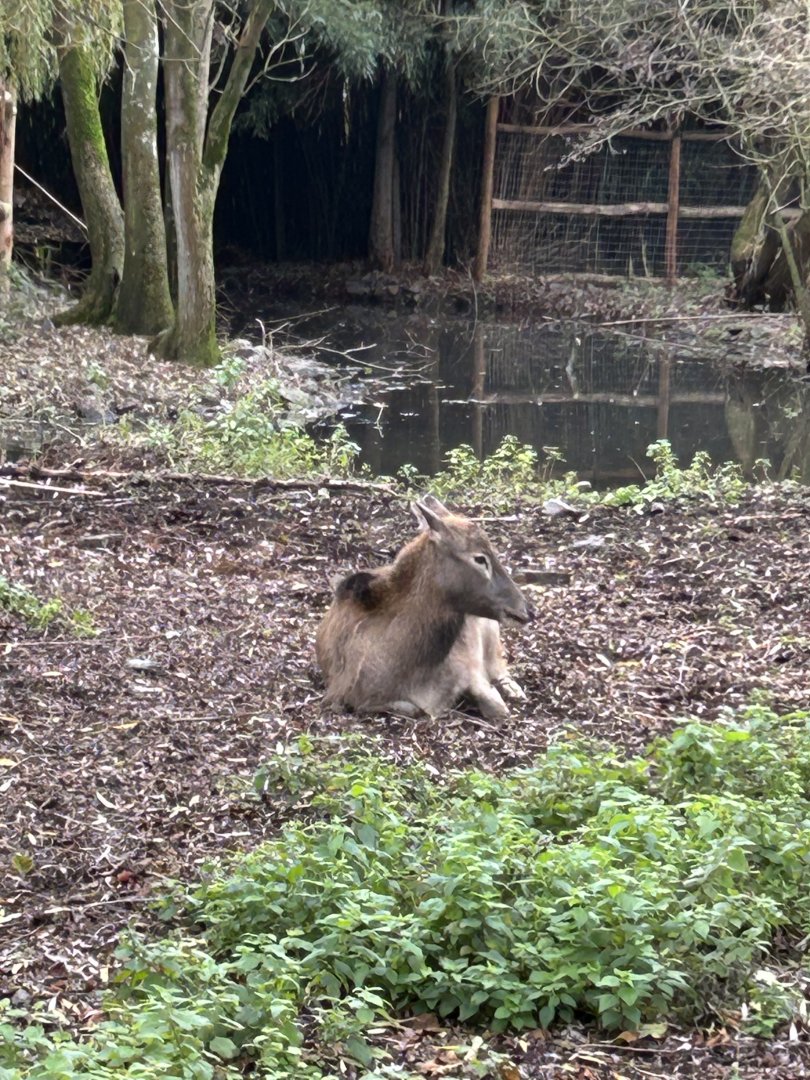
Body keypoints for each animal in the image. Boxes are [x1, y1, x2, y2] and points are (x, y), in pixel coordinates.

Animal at [315, 495, 533, 720]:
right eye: (480, 558)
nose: (527, 610)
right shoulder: (342, 695)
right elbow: (413, 709)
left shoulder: (471, 668)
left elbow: (497, 707)